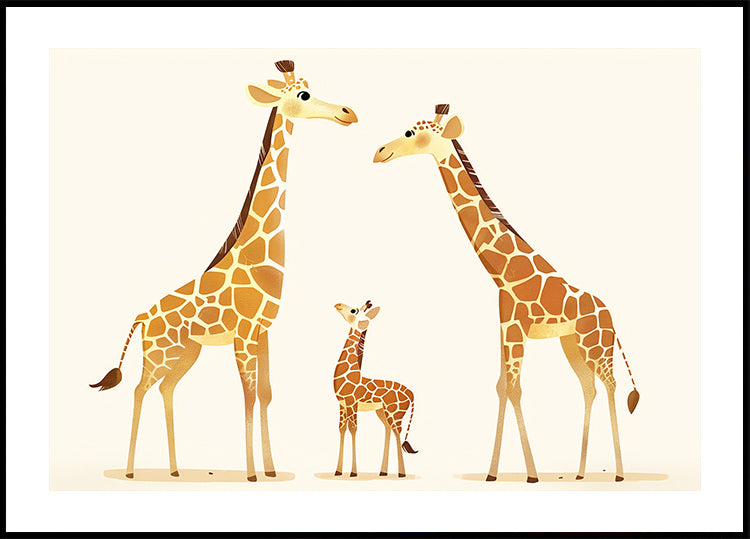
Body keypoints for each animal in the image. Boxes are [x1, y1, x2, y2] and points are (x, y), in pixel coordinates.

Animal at [90, 60, 358, 482]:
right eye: (303, 94)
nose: (347, 113)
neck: (254, 254)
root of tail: (141, 317)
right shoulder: (245, 333)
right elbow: (247, 396)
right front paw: (250, 473)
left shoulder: (264, 332)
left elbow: (265, 394)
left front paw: (270, 470)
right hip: (160, 352)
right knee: (138, 389)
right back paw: (132, 471)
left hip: (186, 352)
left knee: (165, 389)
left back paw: (175, 470)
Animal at [332, 300, 418, 478]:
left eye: (354, 310)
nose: (338, 305)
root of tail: (411, 394)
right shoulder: (342, 404)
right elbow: (342, 429)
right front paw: (338, 471)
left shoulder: (352, 403)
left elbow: (353, 429)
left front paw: (353, 472)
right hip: (382, 412)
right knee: (388, 430)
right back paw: (383, 472)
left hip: (395, 413)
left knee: (397, 432)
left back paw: (401, 474)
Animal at [373, 104, 639, 483]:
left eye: (412, 133)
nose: (381, 152)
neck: (502, 272)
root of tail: (611, 315)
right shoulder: (505, 324)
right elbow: (502, 387)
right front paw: (492, 473)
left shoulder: (516, 326)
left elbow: (515, 388)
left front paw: (531, 474)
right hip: (571, 345)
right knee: (589, 388)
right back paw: (579, 473)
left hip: (597, 345)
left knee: (612, 385)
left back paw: (617, 473)